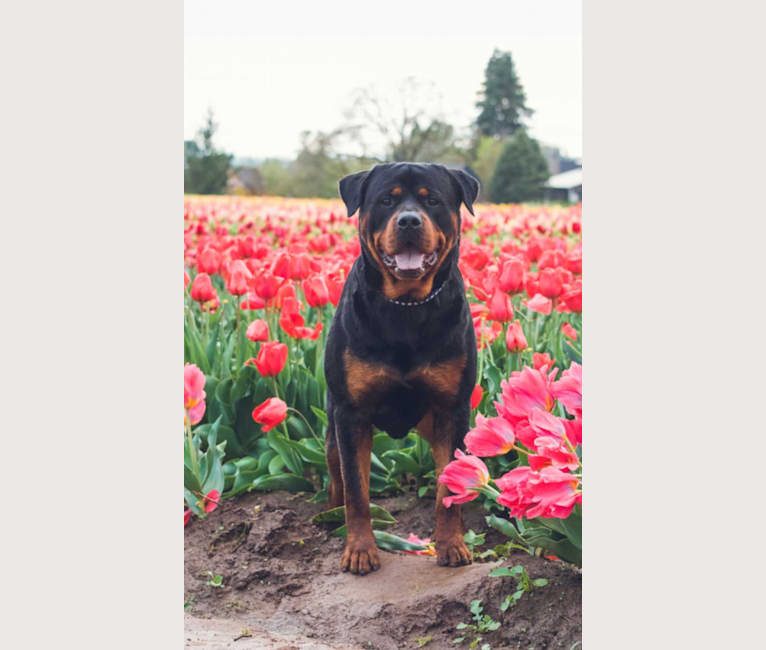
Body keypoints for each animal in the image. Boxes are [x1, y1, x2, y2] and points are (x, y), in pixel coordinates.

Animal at [324, 161, 480, 572]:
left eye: (433, 200)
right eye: (385, 200)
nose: (409, 221)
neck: (407, 307)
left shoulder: (451, 410)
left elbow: (446, 487)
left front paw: (451, 545)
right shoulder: (350, 414)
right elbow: (357, 491)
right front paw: (360, 549)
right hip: (331, 429)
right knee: (337, 476)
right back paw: (329, 516)